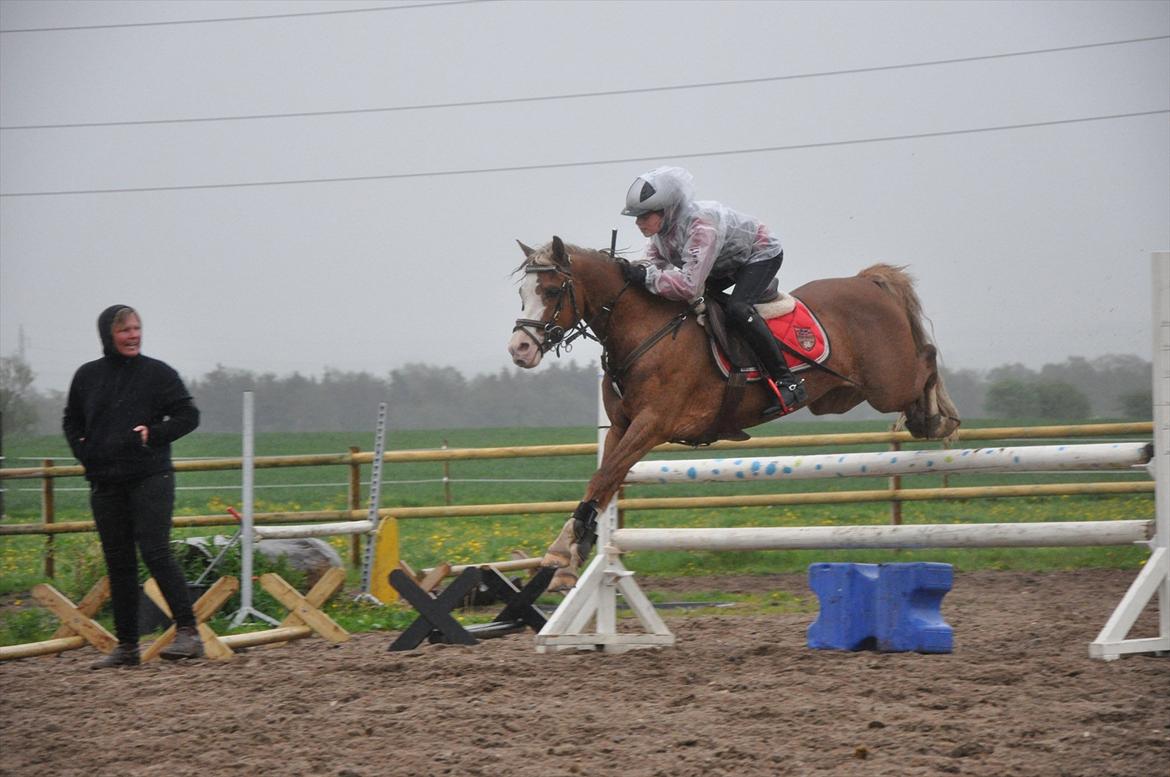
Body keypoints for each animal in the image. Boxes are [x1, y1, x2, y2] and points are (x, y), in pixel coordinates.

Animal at [507, 236, 961, 591]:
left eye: (552, 290)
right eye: (522, 293)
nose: (519, 350)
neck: (643, 330)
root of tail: (866, 282)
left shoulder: (652, 425)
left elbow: (603, 478)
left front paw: (562, 555)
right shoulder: (621, 427)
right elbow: (603, 482)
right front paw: (570, 555)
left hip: (887, 383)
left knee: (927, 358)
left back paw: (936, 417)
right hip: (840, 393)